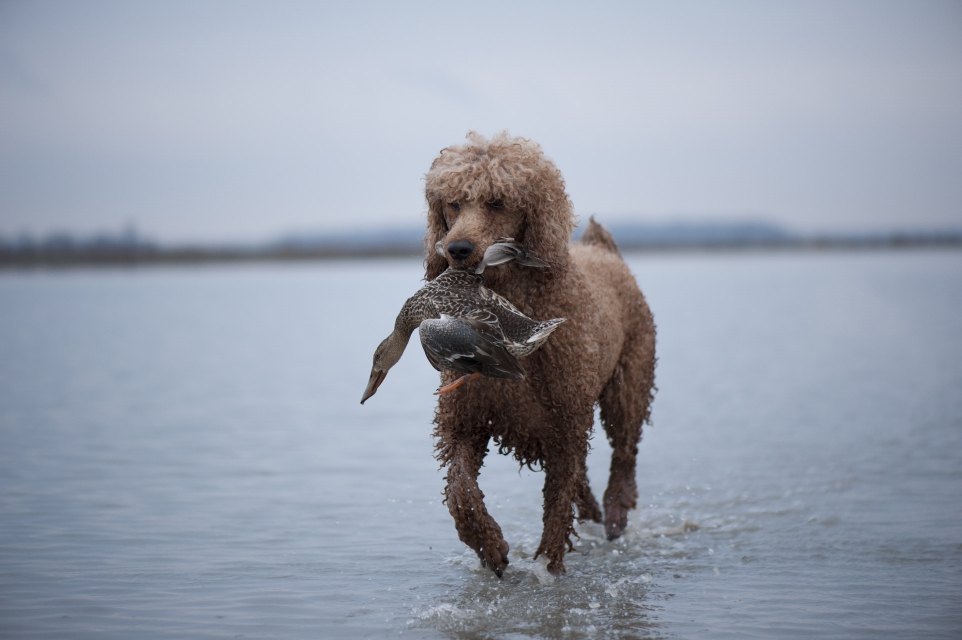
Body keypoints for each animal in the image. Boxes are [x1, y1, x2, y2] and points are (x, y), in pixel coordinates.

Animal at [424, 131, 656, 576]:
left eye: (497, 201)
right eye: (453, 202)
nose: (456, 248)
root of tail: (604, 250)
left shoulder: (565, 426)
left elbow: (556, 506)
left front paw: (549, 568)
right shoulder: (466, 420)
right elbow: (460, 491)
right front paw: (489, 545)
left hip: (629, 383)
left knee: (625, 452)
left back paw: (616, 510)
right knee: (587, 477)